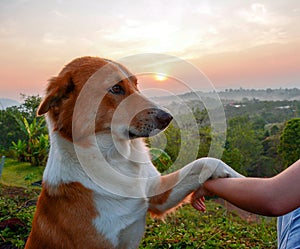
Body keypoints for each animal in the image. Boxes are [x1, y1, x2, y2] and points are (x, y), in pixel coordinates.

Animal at [25, 57, 241, 249]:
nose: (168, 117)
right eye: (116, 88)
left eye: (136, 84)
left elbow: (204, 162)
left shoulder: (157, 195)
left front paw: (236, 177)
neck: (115, 158)